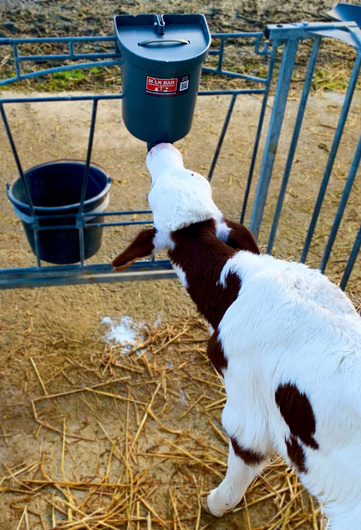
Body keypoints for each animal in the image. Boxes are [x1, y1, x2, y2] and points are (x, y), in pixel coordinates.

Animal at [113, 142, 361, 524]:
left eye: (151, 195)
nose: (161, 146)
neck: (239, 284)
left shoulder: (248, 403)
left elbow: (244, 456)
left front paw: (215, 504)